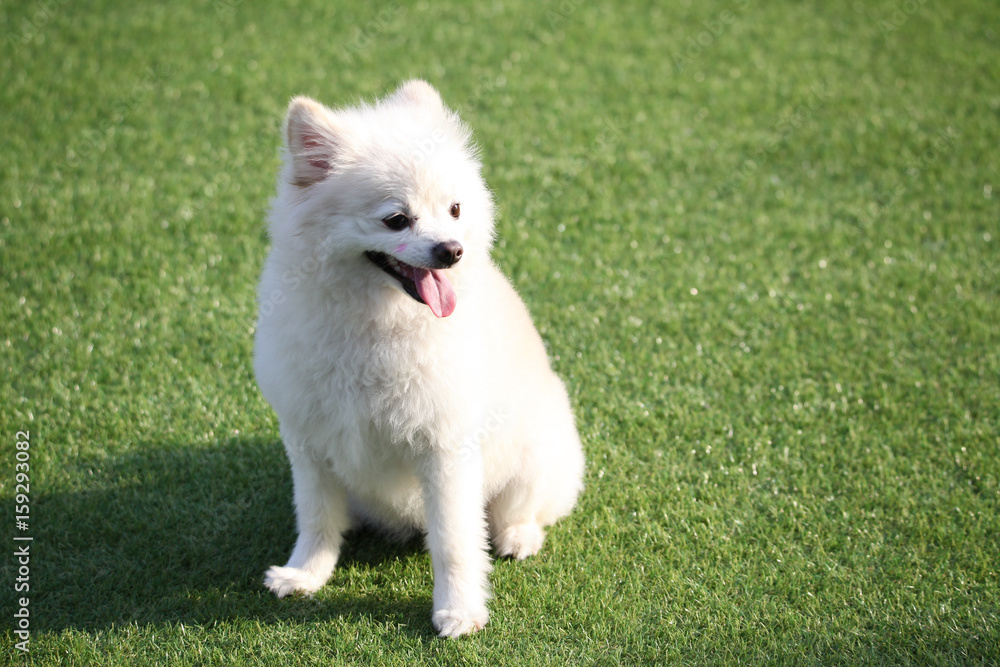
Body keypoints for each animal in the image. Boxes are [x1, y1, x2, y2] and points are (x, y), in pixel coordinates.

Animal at [254, 80, 584, 638]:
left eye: (454, 210)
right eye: (396, 220)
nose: (451, 250)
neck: (375, 322)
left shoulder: (445, 448)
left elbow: (453, 540)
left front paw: (459, 612)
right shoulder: (309, 440)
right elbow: (316, 517)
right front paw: (305, 575)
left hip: (534, 455)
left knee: (526, 508)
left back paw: (518, 536)